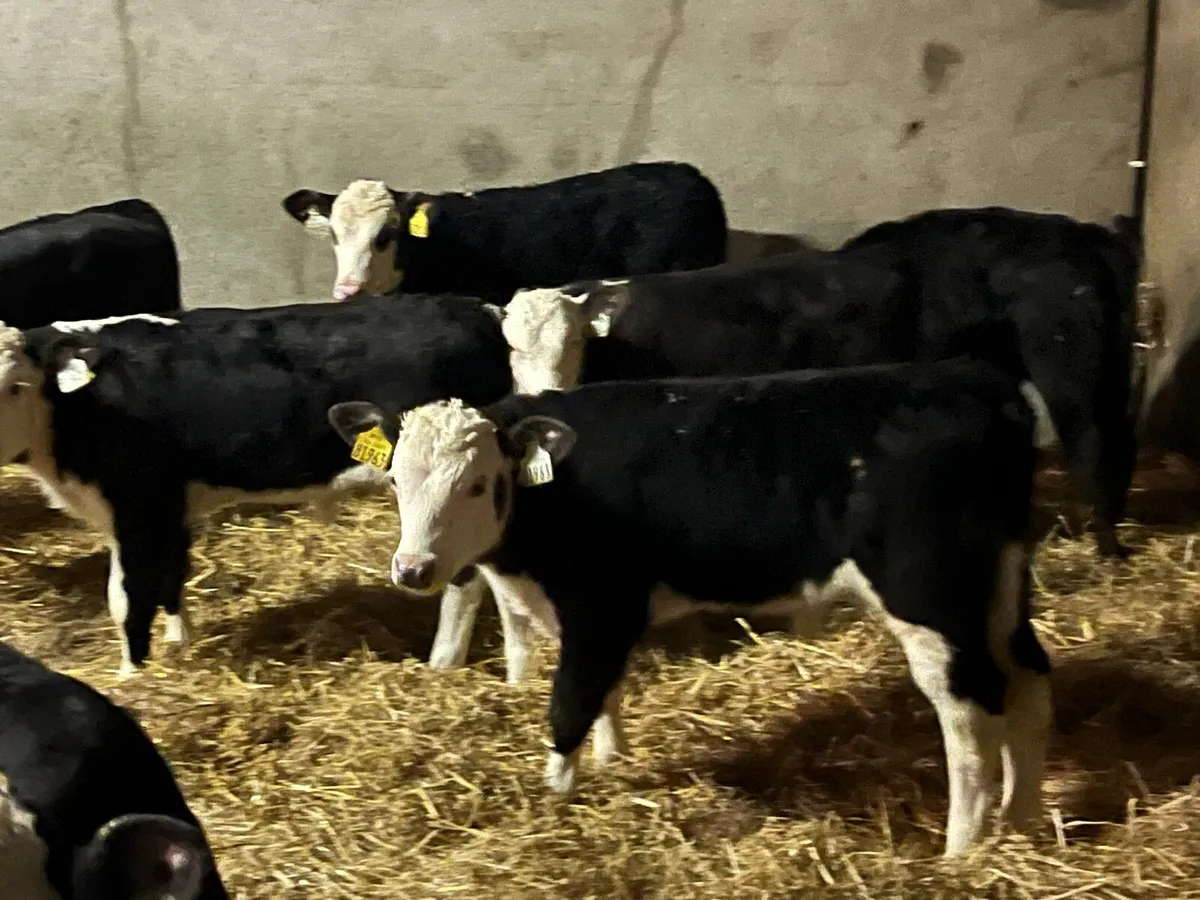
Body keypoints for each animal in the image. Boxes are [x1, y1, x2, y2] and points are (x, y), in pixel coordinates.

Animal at [0, 293, 512, 674]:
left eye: (14, 386)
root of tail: (476, 308)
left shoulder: (140, 506)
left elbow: (127, 598)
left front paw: (132, 676)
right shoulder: (164, 511)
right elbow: (170, 578)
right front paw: (179, 643)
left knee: (465, 580)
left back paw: (443, 662)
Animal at [326, 357, 1054, 858]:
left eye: (479, 484)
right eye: (396, 478)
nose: (413, 569)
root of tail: (974, 379)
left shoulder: (601, 606)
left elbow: (571, 703)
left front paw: (555, 796)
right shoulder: (600, 618)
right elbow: (605, 692)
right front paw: (613, 760)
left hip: (931, 599)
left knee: (969, 711)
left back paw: (961, 848)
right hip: (1002, 585)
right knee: (1029, 679)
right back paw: (1019, 823)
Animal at [499, 205, 1138, 558]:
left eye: (573, 343)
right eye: (510, 349)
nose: (539, 392)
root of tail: (1079, 234)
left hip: (1069, 365)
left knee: (1092, 446)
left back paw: (1106, 548)